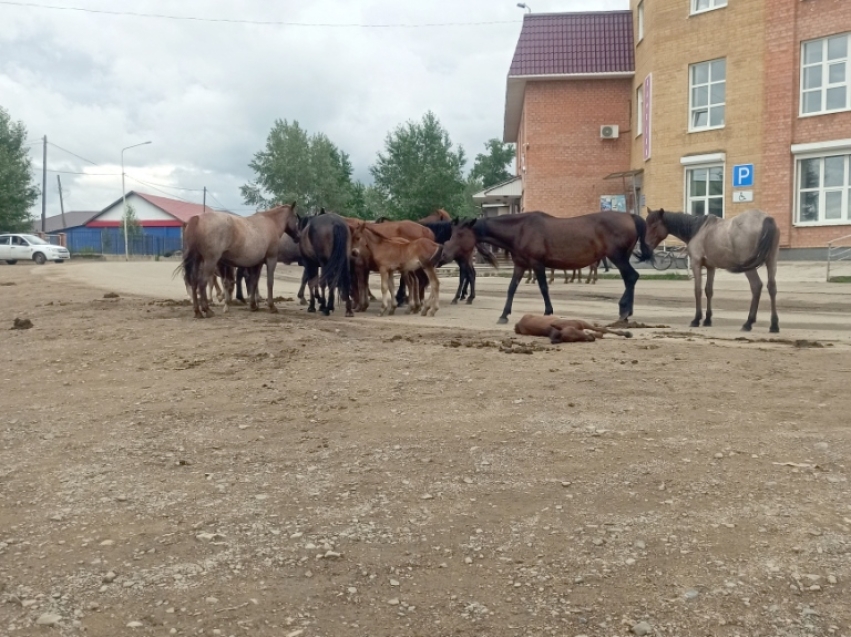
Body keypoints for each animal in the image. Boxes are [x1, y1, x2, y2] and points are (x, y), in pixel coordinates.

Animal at [450, 212, 656, 322]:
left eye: (459, 234)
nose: (446, 251)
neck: (520, 229)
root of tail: (630, 216)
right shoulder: (521, 265)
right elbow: (511, 289)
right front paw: (504, 314)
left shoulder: (537, 264)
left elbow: (543, 287)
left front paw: (548, 311)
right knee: (630, 279)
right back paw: (627, 311)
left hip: (618, 257)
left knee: (631, 277)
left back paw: (624, 311)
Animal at [644, 211, 780, 336]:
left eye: (654, 225)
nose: (646, 245)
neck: (697, 229)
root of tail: (766, 219)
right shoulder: (711, 267)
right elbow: (708, 290)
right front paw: (708, 319)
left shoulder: (696, 264)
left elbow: (697, 291)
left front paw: (696, 319)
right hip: (771, 261)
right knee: (772, 287)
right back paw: (774, 325)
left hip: (749, 266)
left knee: (756, 286)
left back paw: (748, 323)